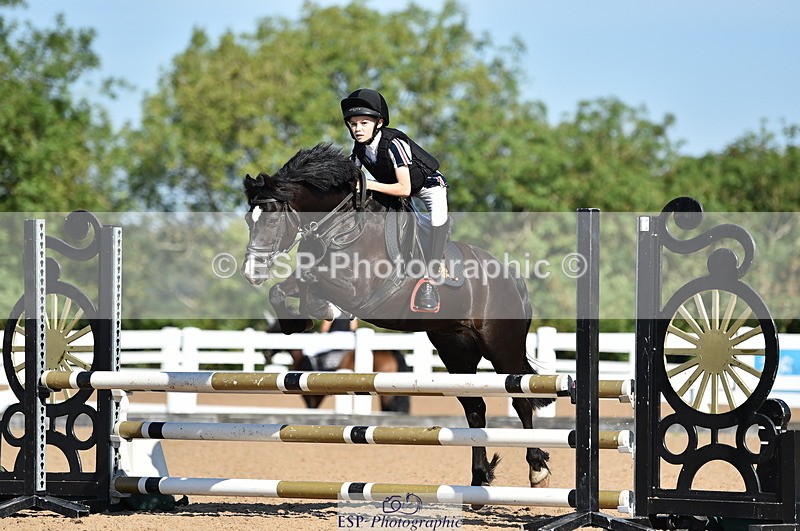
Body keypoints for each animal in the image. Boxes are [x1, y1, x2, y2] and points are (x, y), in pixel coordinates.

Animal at [241, 142, 554, 494]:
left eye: (270, 219)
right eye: (249, 220)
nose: (251, 273)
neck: (340, 225)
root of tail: (513, 278)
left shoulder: (358, 291)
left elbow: (311, 280)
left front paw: (317, 310)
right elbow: (283, 288)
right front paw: (298, 321)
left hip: (501, 346)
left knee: (521, 398)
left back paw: (537, 469)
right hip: (456, 351)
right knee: (475, 409)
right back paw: (478, 479)